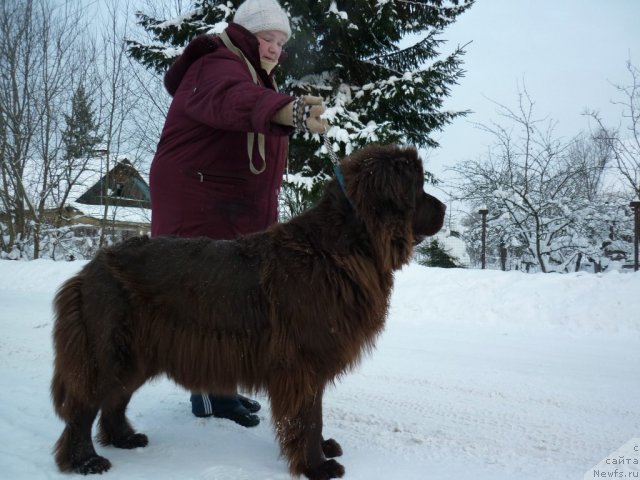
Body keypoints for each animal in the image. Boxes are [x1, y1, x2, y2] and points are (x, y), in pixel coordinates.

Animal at [50, 144, 444, 478]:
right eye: (418, 187)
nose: (444, 209)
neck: (339, 249)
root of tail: (89, 267)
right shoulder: (303, 361)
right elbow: (308, 417)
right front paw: (317, 466)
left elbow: (314, 414)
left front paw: (323, 450)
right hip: (107, 349)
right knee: (83, 407)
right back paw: (85, 460)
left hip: (137, 355)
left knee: (114, 400)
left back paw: (124, 439)